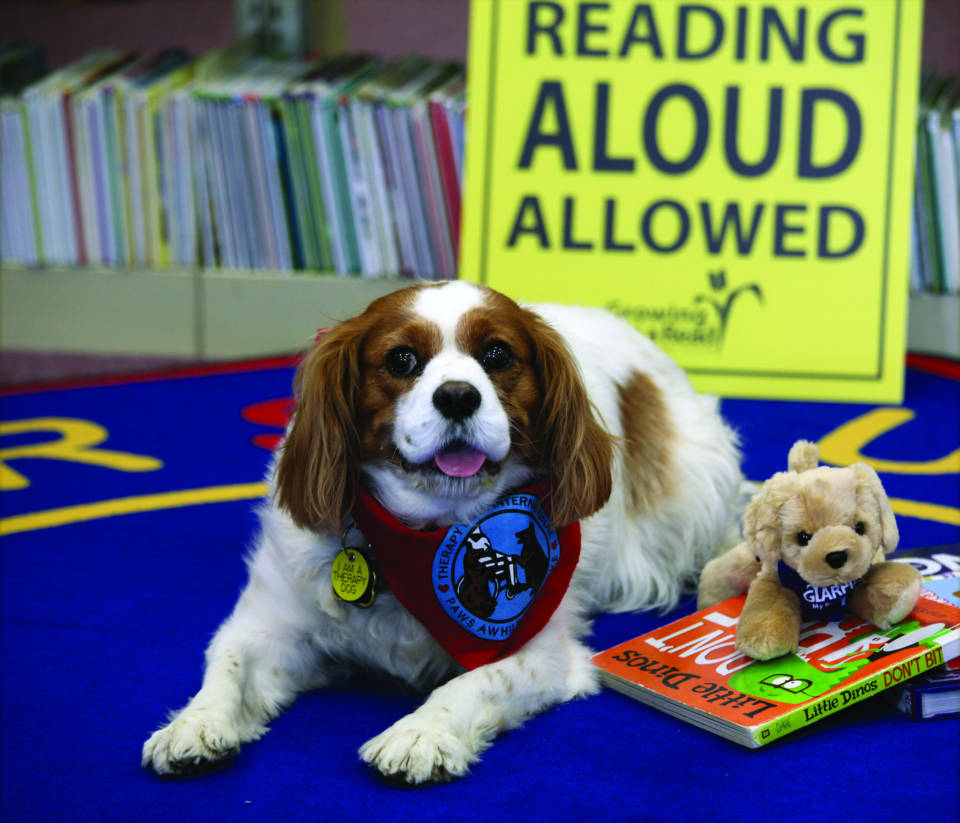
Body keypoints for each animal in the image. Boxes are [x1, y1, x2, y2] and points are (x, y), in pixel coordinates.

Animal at [142, 280, 744, 784]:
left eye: (497, 354)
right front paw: (193, 725)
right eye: (401, 359)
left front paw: (419, 734)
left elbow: (471, 683)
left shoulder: (541, 650)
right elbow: (227, 664)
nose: (457, 395)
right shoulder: (268, 624)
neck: (424, 532)